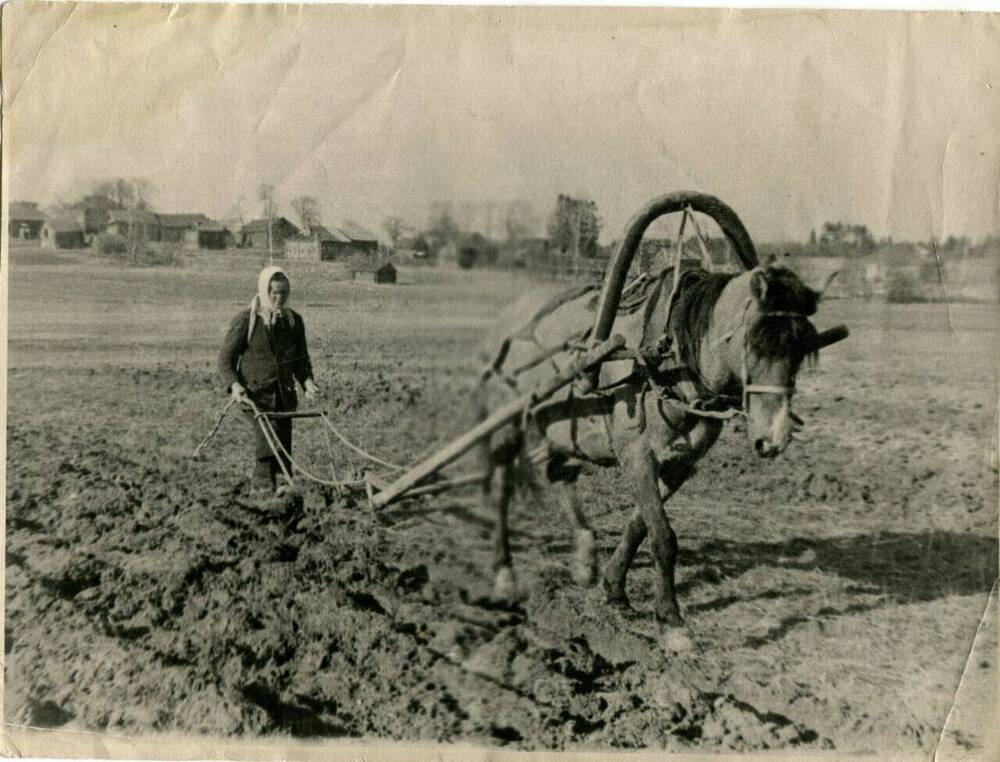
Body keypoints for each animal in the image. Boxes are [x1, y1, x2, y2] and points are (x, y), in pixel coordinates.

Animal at [474, 199, 844, 652]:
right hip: (508, 425)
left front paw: (613, 589)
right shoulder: (637, 456)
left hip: (562, 429)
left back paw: (583, 556)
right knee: (501, 490)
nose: (773, 438)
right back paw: (504, 573)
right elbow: (664, 537)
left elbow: (640, 526)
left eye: (802, 348)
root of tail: (506, 321)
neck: (667, 361)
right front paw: (671, 622)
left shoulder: (679, 463)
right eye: (755, 341)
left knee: (560, 475)